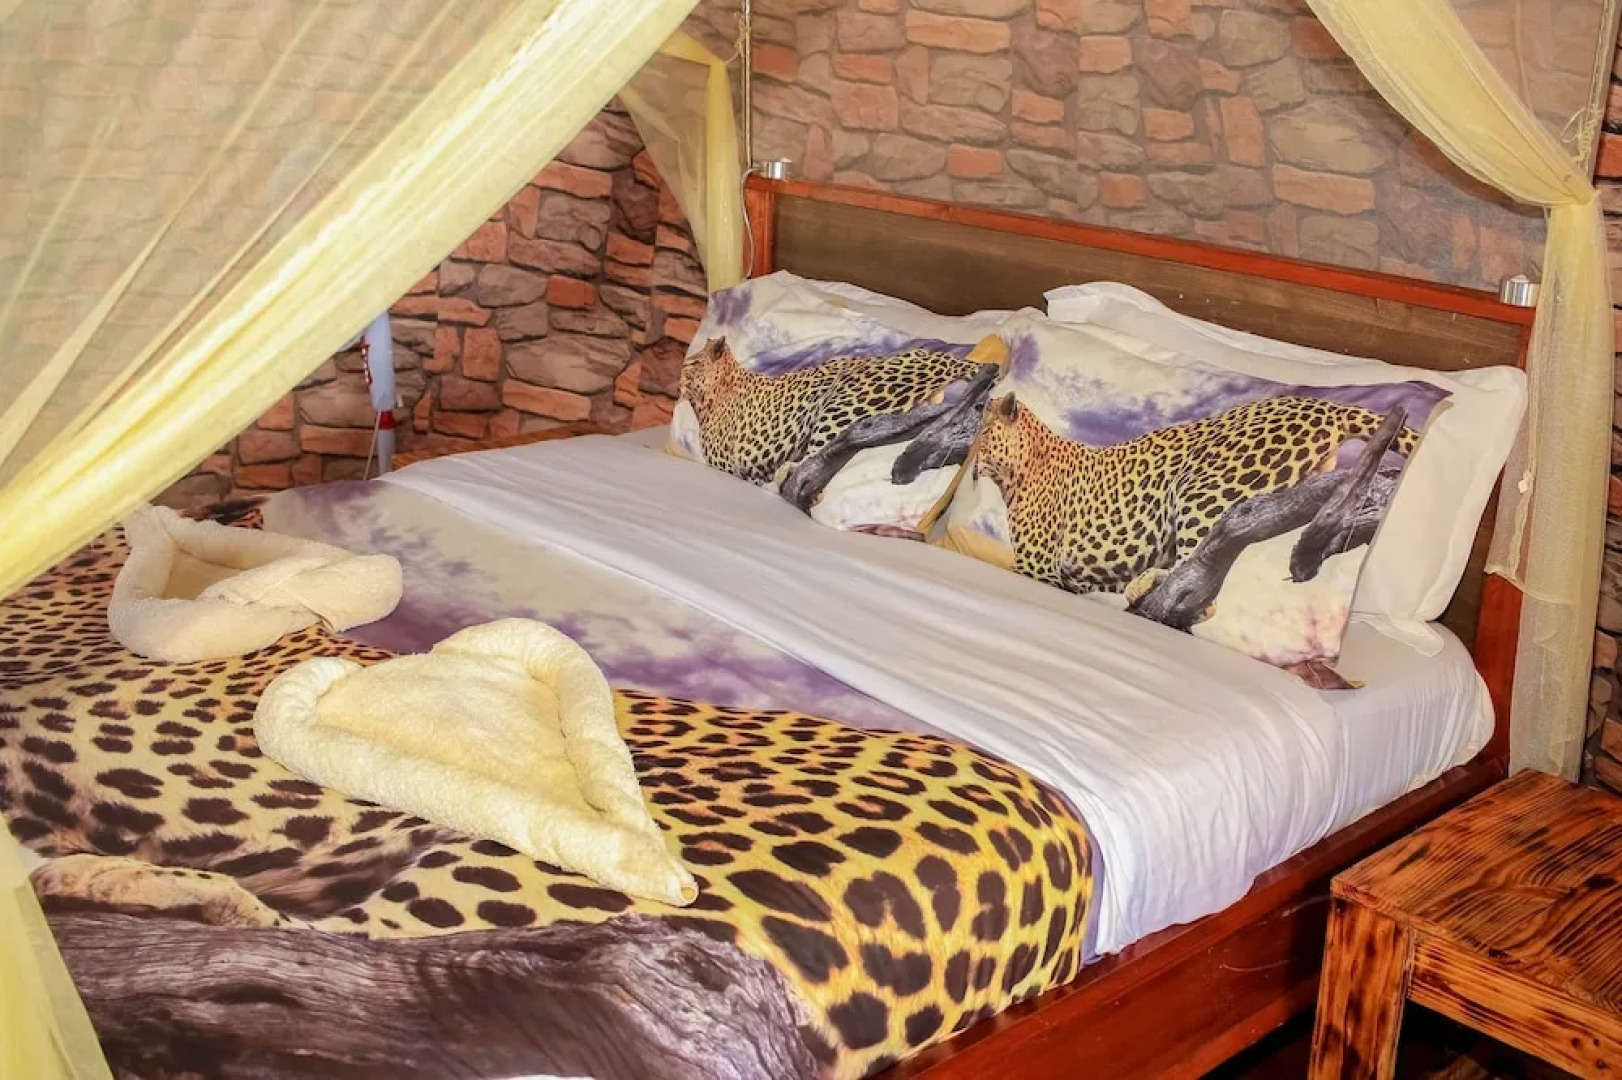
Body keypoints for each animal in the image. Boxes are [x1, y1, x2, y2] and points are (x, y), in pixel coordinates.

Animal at [961, 391, 1420, 603]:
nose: (968, 459)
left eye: (984, 429)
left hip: (1205, 485)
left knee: (1204, 550)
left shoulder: (1038, 568)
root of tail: (1320, 404)